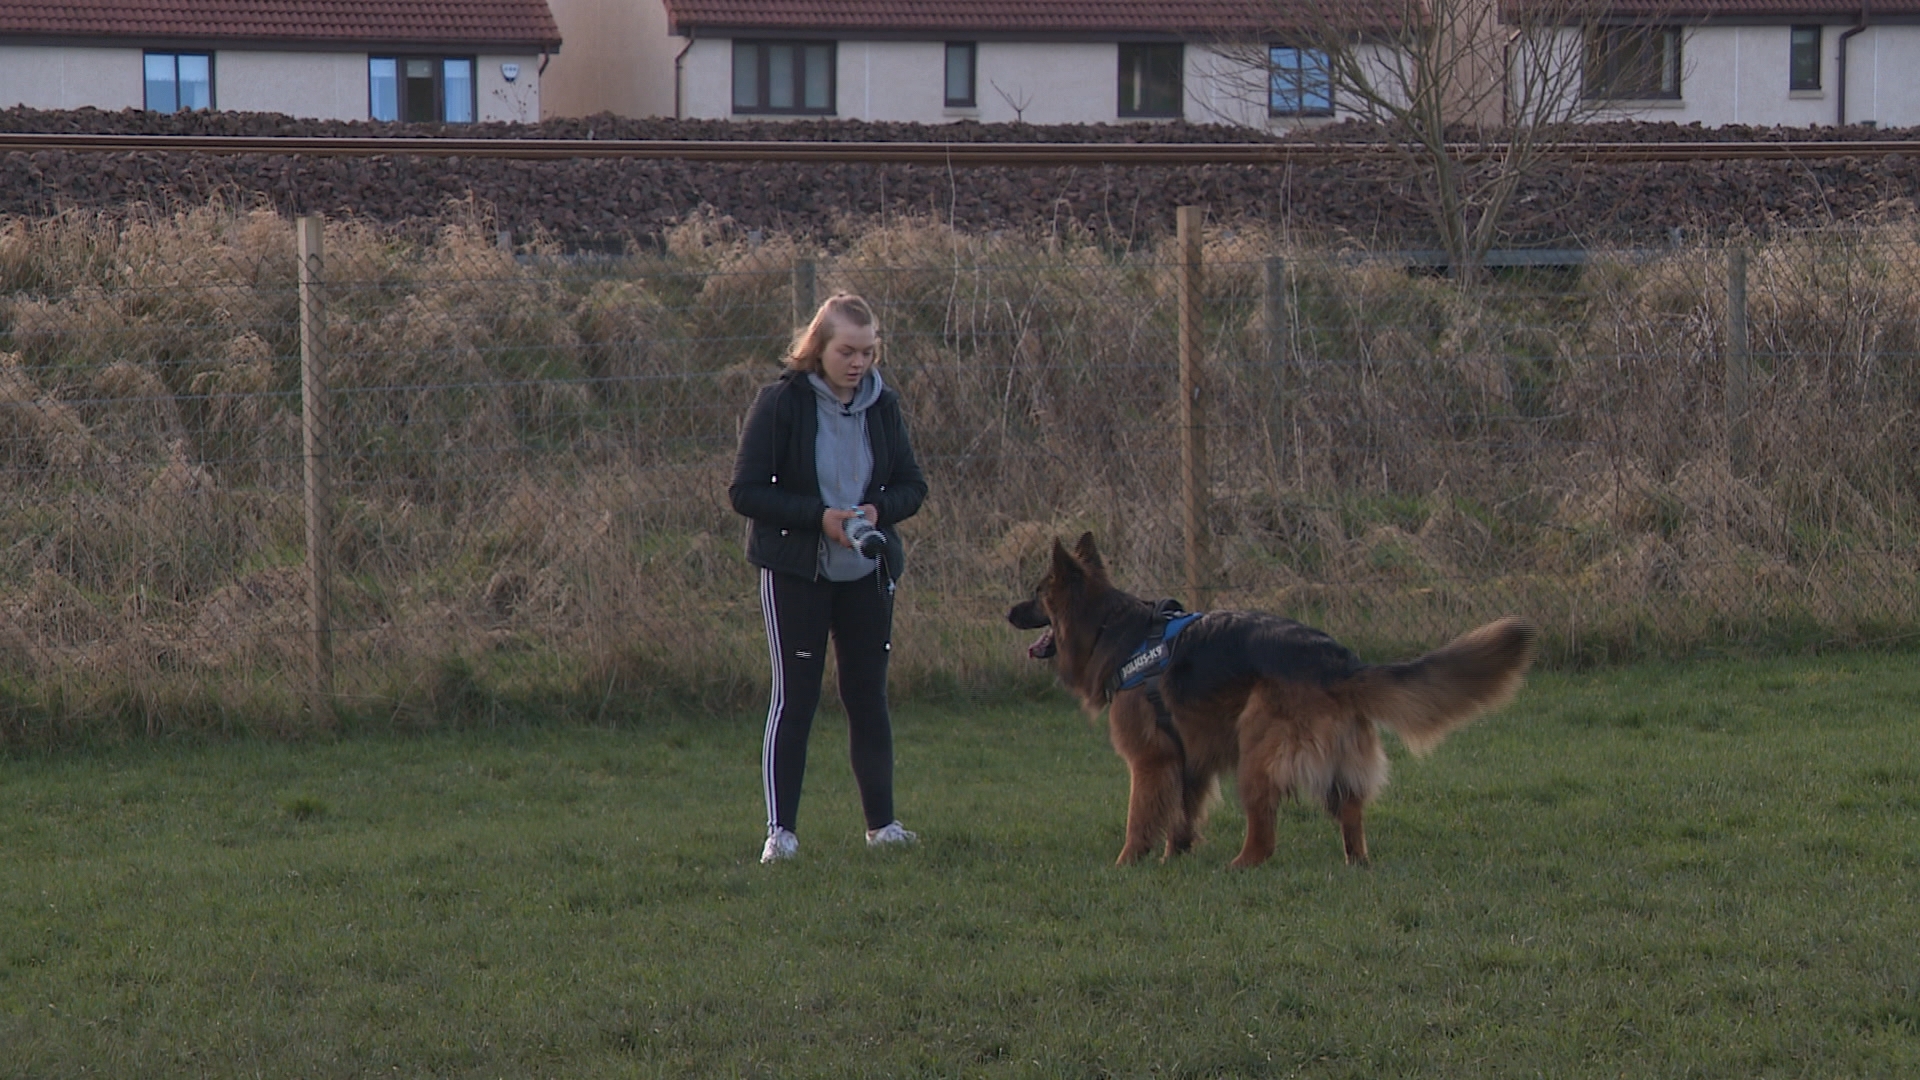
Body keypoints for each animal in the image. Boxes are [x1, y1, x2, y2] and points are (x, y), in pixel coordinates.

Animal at [1006, 530, 1528, 864]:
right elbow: (1181, 817)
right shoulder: (1188, 758)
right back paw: (1354, 862)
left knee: (1264, 836)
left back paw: (1240, 865)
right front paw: (1175, 858)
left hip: (1257, 747)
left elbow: (1141, 818)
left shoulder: (1150, 760)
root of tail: (1338, 661)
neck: (1113, 628)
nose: (1009, 612)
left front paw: (1128, 863)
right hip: (1335, 763)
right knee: (1351, 815)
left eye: (1036, 593)